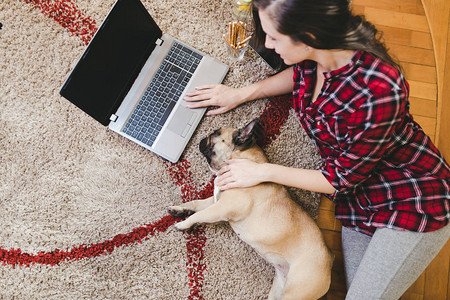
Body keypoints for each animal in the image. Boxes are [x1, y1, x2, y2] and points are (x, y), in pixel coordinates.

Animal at [169, 118, 334, 298]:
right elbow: (195, 203)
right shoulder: (214, 201)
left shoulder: (220, 208)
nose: (202, 139)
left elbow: (198, 215)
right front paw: (179, 209)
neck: (239, 158)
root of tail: (330, 261)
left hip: (295, 291)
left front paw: (183, 224)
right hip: (279, 288)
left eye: (215, 134)